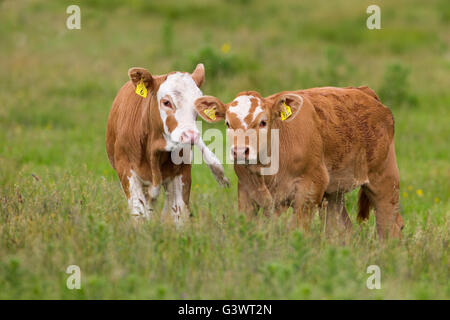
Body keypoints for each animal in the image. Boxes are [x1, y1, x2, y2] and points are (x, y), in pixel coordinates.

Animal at [106, 64, 229, 225]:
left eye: (197, 105)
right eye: (166, 102)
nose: (191, 136)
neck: (153, 150)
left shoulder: (181, 175)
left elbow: (178, 214)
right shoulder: (126, 171)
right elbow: (140, 214)